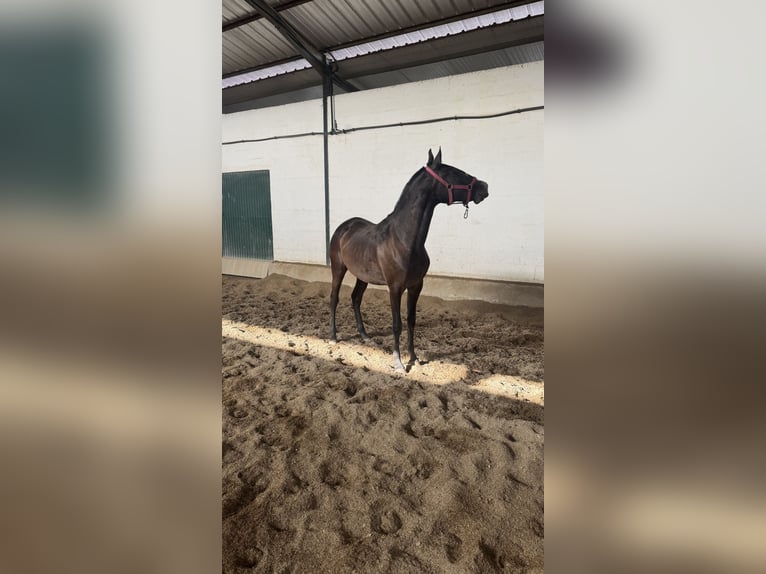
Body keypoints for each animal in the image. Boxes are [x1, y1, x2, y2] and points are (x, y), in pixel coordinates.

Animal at [329, 148, 489, 371]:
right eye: (456, 173)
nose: (484, 187)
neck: (404, 240)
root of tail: (344, 226)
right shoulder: (395, 288)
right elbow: (397, 324)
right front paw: (398, 362)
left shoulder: (416, 286)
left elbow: (411, 320)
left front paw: (413, 357)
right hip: (338, 268)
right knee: (334, 298)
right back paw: (333, 337)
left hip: (363, 276)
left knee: (356, 299)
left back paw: (364, 335)